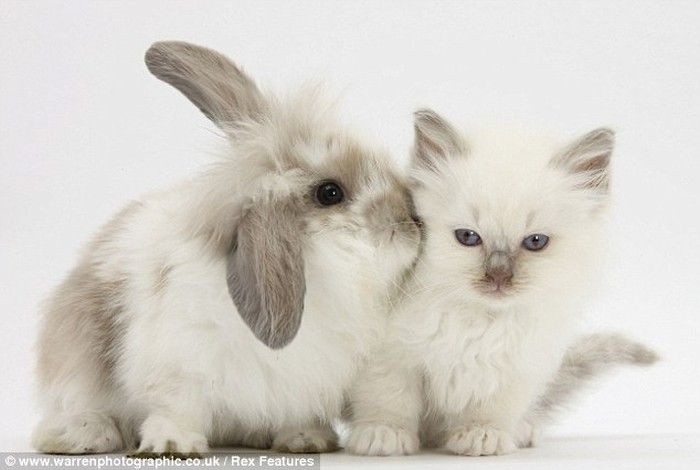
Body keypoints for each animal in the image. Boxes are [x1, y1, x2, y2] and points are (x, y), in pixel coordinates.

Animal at [31, 41, 422, 455]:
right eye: (330, 192)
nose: (410, 218)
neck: (315, 278)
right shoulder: (179, 365)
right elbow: (177, 406)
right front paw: (172, 444)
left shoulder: (302, 380)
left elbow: (297, 412)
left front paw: (305, 439)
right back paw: (84, 433)